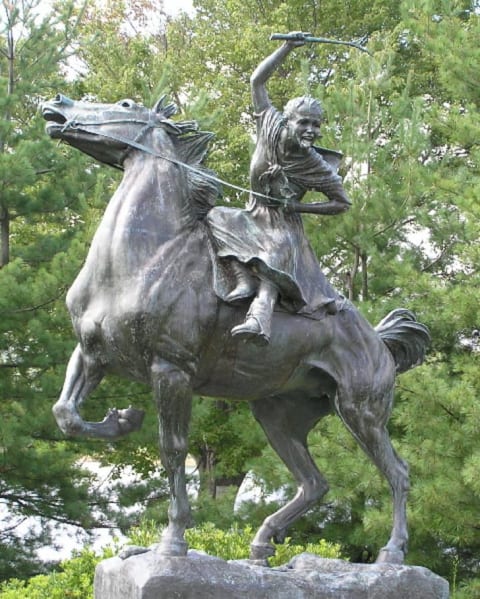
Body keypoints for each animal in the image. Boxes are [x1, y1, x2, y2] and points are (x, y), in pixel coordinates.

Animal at [43, 91, 430, 564]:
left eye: (125, 104)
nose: (57, 105)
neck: (145, 257)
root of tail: (379, 342)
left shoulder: (171, 370)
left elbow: (173, 449)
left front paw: (172, 542)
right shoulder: (92, 354)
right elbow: (66, 414)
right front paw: (123, 420)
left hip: (362, 411)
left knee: (398, 473)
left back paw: (392, 552)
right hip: (278, 415)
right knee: (315, 483)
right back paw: (262, 544)